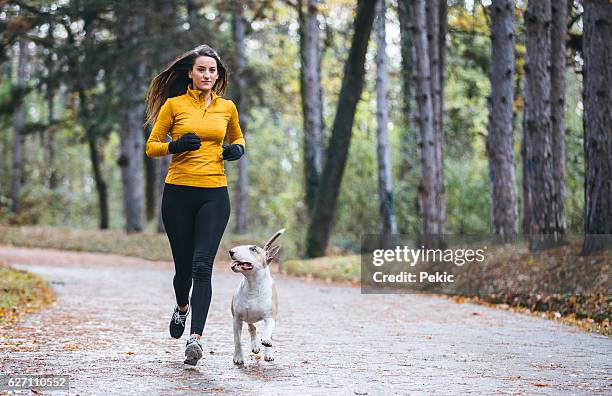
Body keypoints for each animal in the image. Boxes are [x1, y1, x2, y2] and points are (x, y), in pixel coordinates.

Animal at [228, 227, 286, 364]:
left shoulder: (270, 317)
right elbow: (237, 340)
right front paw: (238, 358)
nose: (231, 251)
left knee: (267, 334)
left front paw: (266, 342)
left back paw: (268, 352)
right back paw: (255, 346)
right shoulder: (237, 318)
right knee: (252, 328)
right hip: (247, 318)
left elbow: (268, 331)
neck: (252, 285)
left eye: (254, 249)